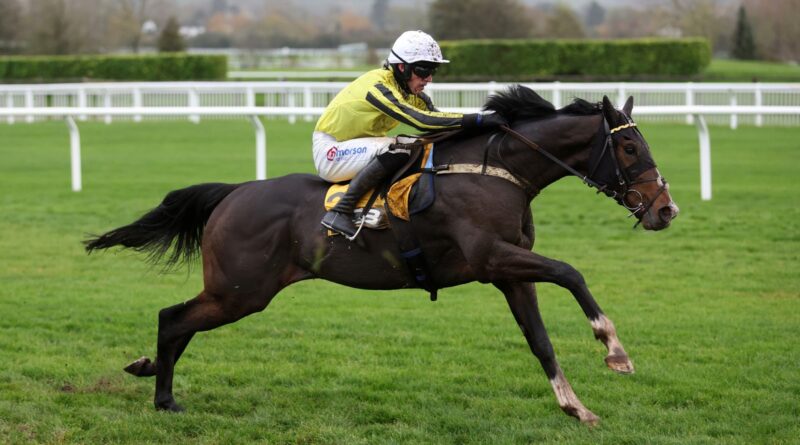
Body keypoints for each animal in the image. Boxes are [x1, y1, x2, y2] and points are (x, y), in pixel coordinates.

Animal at [86, 86, 676, 424]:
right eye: (629, 147)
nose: (665, 210)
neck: (496, 169)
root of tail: (233, 192)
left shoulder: (509, 272)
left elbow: (540, 340)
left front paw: (574, 405)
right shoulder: (492, 259)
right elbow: (570, 272)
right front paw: (614, 350)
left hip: (235, 290)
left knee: (178, 321)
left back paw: (148, 371)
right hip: (240, 290)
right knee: (173, 317)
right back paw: (164, 397)